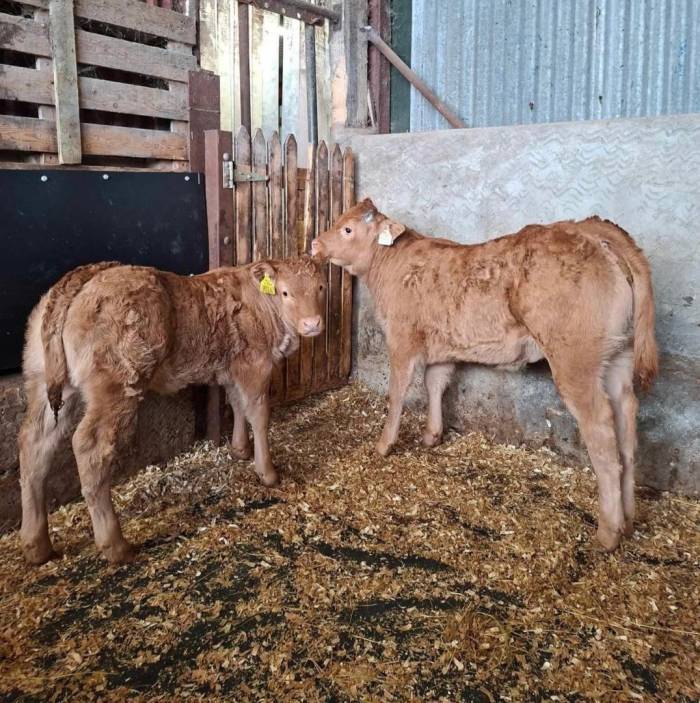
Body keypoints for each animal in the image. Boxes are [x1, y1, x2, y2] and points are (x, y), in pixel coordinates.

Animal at [19, 257, 325, 564]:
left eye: (321, 287)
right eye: (285, 292)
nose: (312, 324)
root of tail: (88, 273)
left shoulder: (231, 368)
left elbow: (237, 405)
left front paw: (240, 450)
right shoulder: (256, 364)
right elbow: (259, 415)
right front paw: (268, 473)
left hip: (44, 379)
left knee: (35, 443)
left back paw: (37, 544)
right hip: (117, 385)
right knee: (90, 447)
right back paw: (115, 545)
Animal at [312, 199, 658, 552]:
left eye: (347, 229)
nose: (315, 244)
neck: (393, 265)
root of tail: (591, 229)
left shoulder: (402, 339)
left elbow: (397, 393)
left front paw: (383, 445)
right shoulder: (442, 347)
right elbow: (435, 384)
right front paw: (432, 435)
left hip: (576, 361)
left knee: (600, 429)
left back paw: (608, 532)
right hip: (618, 357)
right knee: (626, 419)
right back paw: (628, 520)